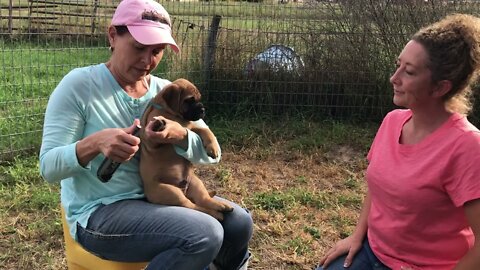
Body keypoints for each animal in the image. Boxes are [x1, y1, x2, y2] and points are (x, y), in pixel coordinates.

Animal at [138, 77, 233, 219]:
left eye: (199, 99)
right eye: (189, 100)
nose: (203, 110)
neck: (172, 114)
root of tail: (184, 190)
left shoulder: (190, 128)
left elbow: (205, 130)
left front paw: (213, 148)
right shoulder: (152, 140)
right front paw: (159, 124)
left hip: (196, 183)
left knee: (203, 200)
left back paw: (221, 206)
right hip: (170, 192)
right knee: (193, 206)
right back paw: (216, 213)